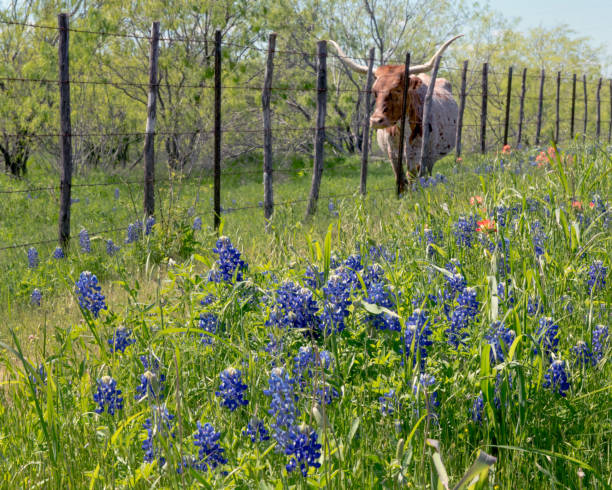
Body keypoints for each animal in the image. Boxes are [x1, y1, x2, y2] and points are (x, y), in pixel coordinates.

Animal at [330, 35, 460, 192]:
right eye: (374, 90)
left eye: (398, 89)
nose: (376, 120)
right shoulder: (392, 153)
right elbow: (400, 180)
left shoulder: (417, 154)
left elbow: (413, 178)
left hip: (431, 156)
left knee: (427, 174)